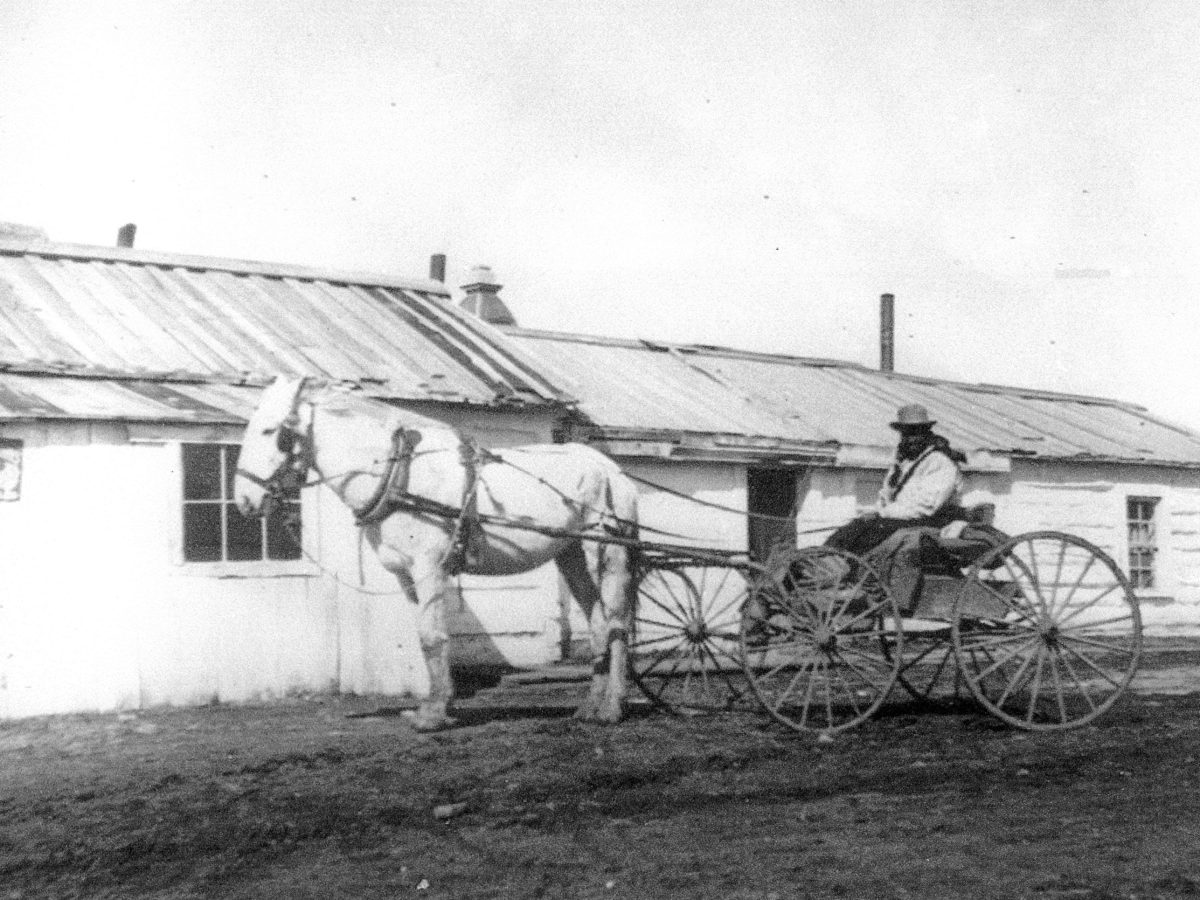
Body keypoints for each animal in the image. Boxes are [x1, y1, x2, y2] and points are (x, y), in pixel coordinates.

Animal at [233, 376, 638, 731]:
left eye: (270, 431)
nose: (244, 501)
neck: (399, 477)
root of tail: (610, 468)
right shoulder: (406, 575)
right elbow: (424, 637)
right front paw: (434, 706)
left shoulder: (429, 568)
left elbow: (433, 636)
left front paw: (434, 715)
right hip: (572, 556)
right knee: (599, 624)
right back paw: (590, 707)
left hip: (608, 553)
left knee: (617, 624)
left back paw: (612, 708)